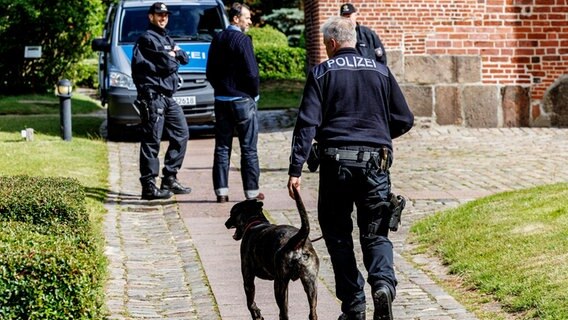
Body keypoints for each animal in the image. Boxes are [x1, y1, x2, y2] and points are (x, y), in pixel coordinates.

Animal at [225, 186, 320, 318]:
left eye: (232, 213)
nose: (226, 223)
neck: (255, 222)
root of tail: (297, 242)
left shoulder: (247, 276)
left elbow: (250, 302)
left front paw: (256, 314)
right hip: (310, 283)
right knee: (312, 312)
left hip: (279, 284)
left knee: (284, 313)